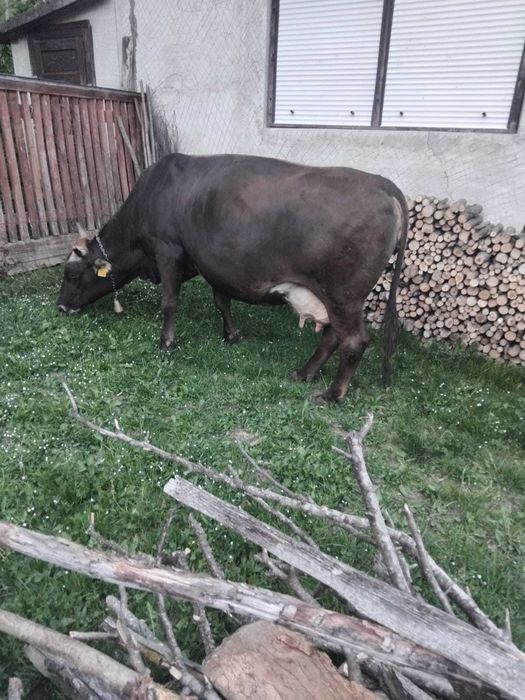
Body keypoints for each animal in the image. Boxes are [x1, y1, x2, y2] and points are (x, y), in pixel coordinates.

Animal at [58, 153, 408, 403]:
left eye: (70, 273)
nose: (61, 307)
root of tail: (380, 183)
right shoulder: (212, 264)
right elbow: (221, 301)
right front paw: (231, 335)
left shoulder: (168, 249)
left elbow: (170, 301)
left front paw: (166, 342)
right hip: (336, 298)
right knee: (333, 337)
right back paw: (304, 373)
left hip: (343, 295)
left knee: (353, 341)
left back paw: (332, 394)